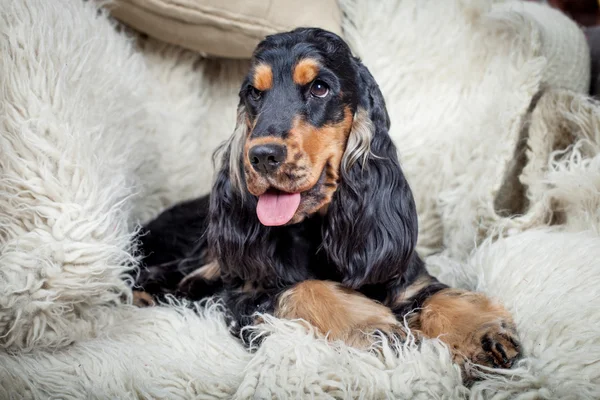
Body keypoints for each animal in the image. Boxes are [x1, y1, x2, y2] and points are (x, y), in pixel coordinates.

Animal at [136, 26, 520, 380]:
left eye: (319, 88)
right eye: (254, 93)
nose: (261, 156)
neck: (316, 228)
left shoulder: (401, 273)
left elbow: (433, 293)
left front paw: (480, 332)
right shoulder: (240, 293)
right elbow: (303, 287)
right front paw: (372, 325)